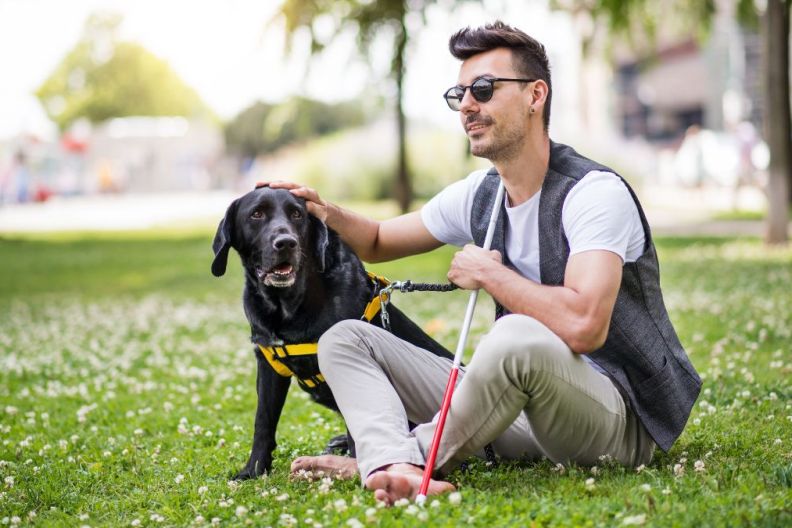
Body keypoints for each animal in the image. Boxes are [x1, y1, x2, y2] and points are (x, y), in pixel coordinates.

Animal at [213, 186, 454, 478]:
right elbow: (263, 421)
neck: (288, 305)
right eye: (256, 214)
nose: (286, 243)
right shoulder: (268, 365)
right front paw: (253, 470)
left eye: (297, 214)